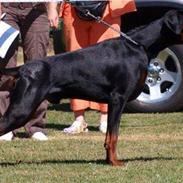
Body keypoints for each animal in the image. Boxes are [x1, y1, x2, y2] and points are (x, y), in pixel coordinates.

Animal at [0, 9, 182, 166]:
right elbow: (114, 135)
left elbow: (109, 136)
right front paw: (115, 163)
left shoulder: (113, 103)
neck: (138, 46)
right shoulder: (118, 99)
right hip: (21, 109)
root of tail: (23, 68)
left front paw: (108, 161)